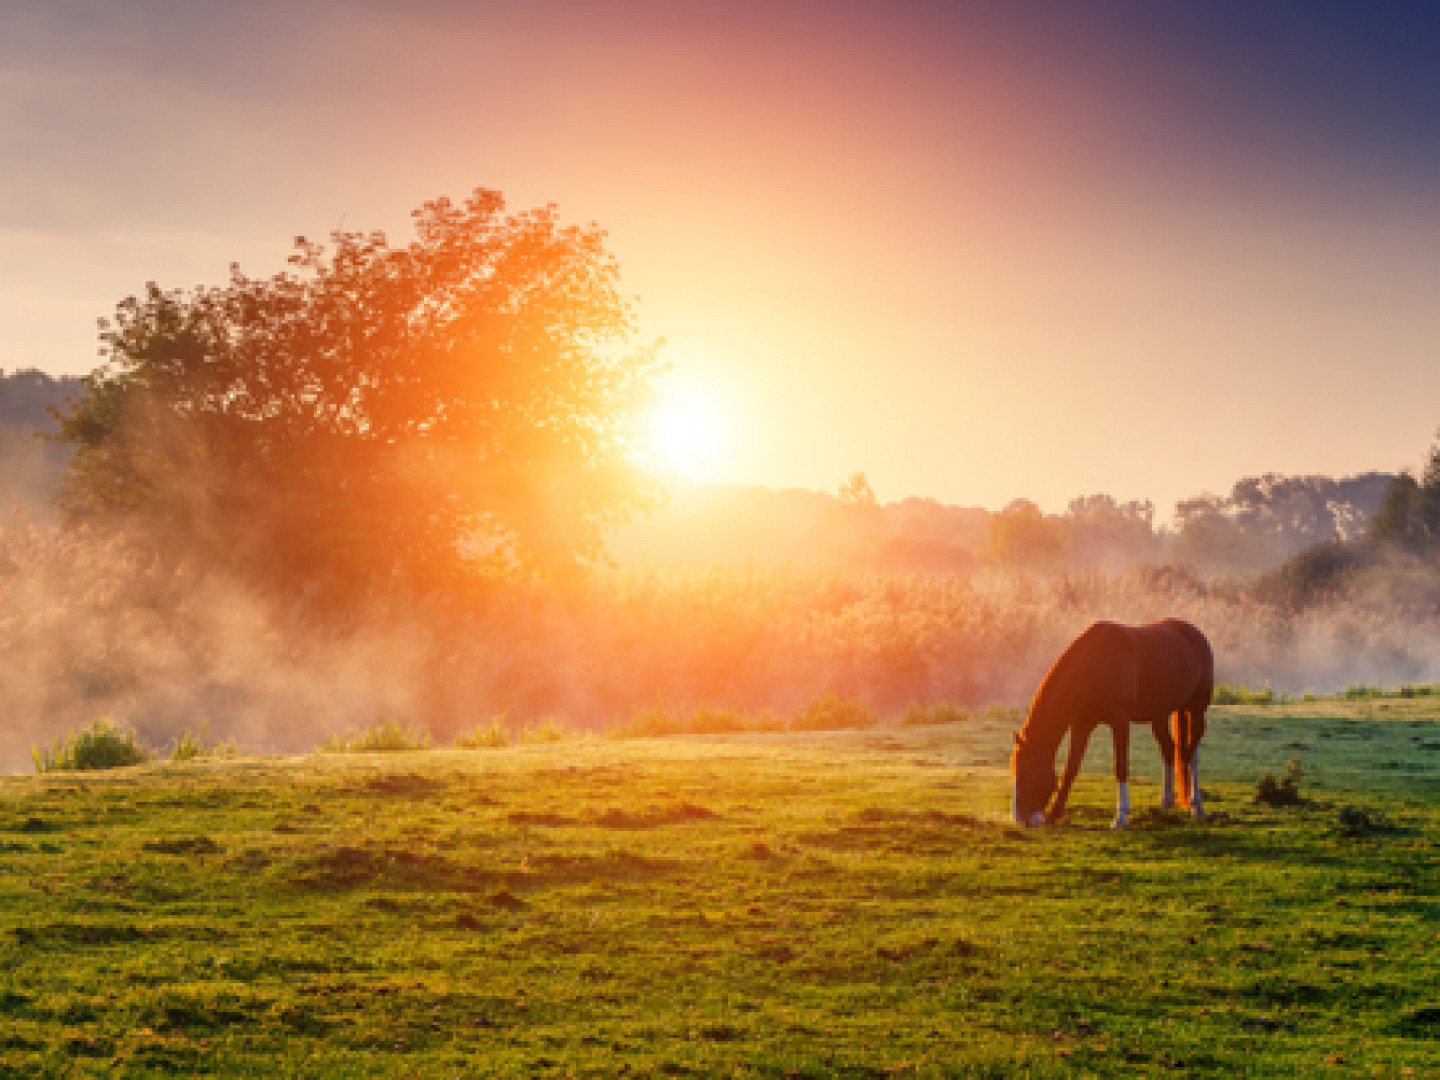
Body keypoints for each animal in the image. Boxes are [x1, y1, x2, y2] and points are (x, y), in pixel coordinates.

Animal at [1013, 616, 1215, 829]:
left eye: (1024, 773)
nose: (1019, 818)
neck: (1095, 663)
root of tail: (1196, 634)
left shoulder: (1120, 721)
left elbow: (1120, 766)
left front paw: (1121, 816)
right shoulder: (1082, 724)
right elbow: (1071, 767)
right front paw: (1053, 815)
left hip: (1196, 709)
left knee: (1191, 755)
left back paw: (1196, 806)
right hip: (1159, 714)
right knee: (1168, 750)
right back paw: (1165, 804)